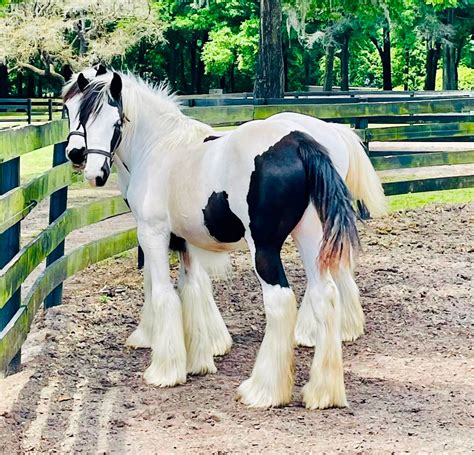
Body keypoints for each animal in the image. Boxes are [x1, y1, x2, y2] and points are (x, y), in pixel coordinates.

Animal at [63, 71, 386, 410]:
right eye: (76, 114)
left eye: (115, 122)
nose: (90, 169)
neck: (159, 148)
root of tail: (299, 143)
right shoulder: (185, 242)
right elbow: (191, 289)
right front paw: (198, 360)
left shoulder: (152, 234)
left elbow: (164, 293)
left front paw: (164, 370)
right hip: (310, 236)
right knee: (326, 293)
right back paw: (323, 392)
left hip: (264, 248)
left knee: (281, 301)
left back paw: (263, 390)